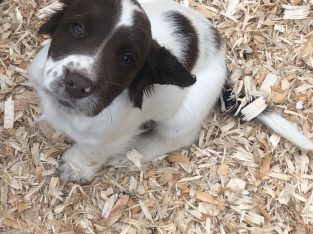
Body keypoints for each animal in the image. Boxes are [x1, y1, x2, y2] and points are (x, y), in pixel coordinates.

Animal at [28, 0, 310, 185]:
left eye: (128, 58)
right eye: (77, 28)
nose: (77, 83)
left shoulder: (110, 134)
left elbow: (92, 151)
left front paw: (75, 168)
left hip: (184, 115)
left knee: (175, 138)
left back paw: (128, 157)